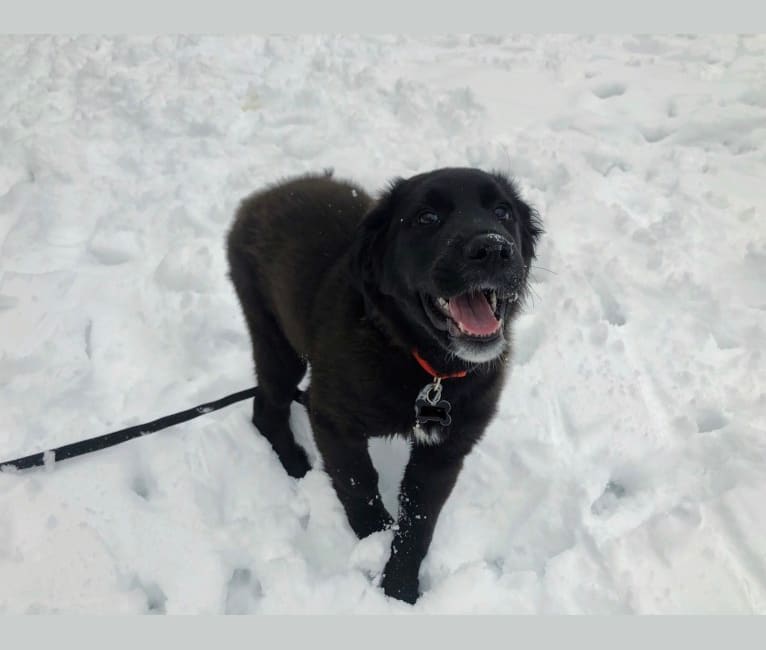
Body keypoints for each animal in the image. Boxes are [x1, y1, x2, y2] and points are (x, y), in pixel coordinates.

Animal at [225, 167, 544, 604]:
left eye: (502, 211)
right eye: (426, 218)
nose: (494, 249)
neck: (423, 367)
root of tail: (261, 196)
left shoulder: (446, 448)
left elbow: (419, 519)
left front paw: (400, 588)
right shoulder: (333, 421)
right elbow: (359, 487)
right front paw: (375, 553)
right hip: (276, 341)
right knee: (266, 409)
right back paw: (295, 465)